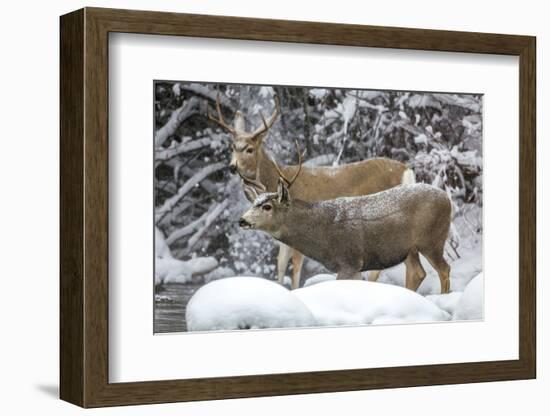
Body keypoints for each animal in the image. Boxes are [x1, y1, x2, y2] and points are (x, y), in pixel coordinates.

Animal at [209, 94, 416, 290]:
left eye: (249, 149)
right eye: (232, 147)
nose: (232, 167)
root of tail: (407, 170)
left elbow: (295, 267)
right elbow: (280, 264)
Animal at [240, 158, 452, 294]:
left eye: (267, 206)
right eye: (253, 203)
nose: (242, 220)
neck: (322, 234)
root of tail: (447, 199)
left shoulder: (349, 260)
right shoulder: (356, 267)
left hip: (432, 240)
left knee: (444, 269)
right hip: (410, 249)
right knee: (418, 273)